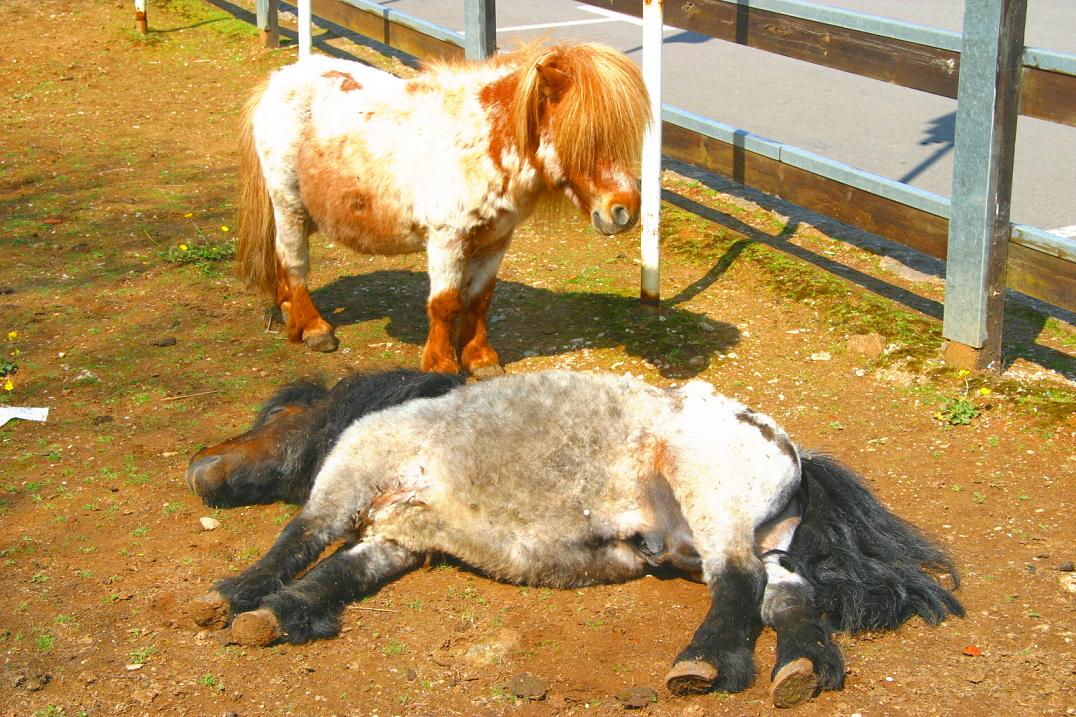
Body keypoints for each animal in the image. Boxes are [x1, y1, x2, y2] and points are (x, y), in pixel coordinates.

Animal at [182, 370, 959, 706]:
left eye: (268, 419)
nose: (198, 464)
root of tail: (791, 448)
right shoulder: (396, 539)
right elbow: (330, 575)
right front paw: (280, 612)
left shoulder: (346, 484)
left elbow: (296, 539)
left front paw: (233, 595)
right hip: (769, 542)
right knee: (786, 600)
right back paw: (799, 668)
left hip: (710, 503)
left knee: (738, 584)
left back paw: (704, 661)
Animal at [237, 43, 645, 374]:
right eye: (584, 136)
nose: (624, 211)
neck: (483, 142)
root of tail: (277, 82)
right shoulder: (447, 240)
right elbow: (445, 303)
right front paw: (441, 365)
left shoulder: (496, 242)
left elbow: (479, 300)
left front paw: (480, 359)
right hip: (289, 205)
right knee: (293, 262)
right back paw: (313, 328)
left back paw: (289, 313)